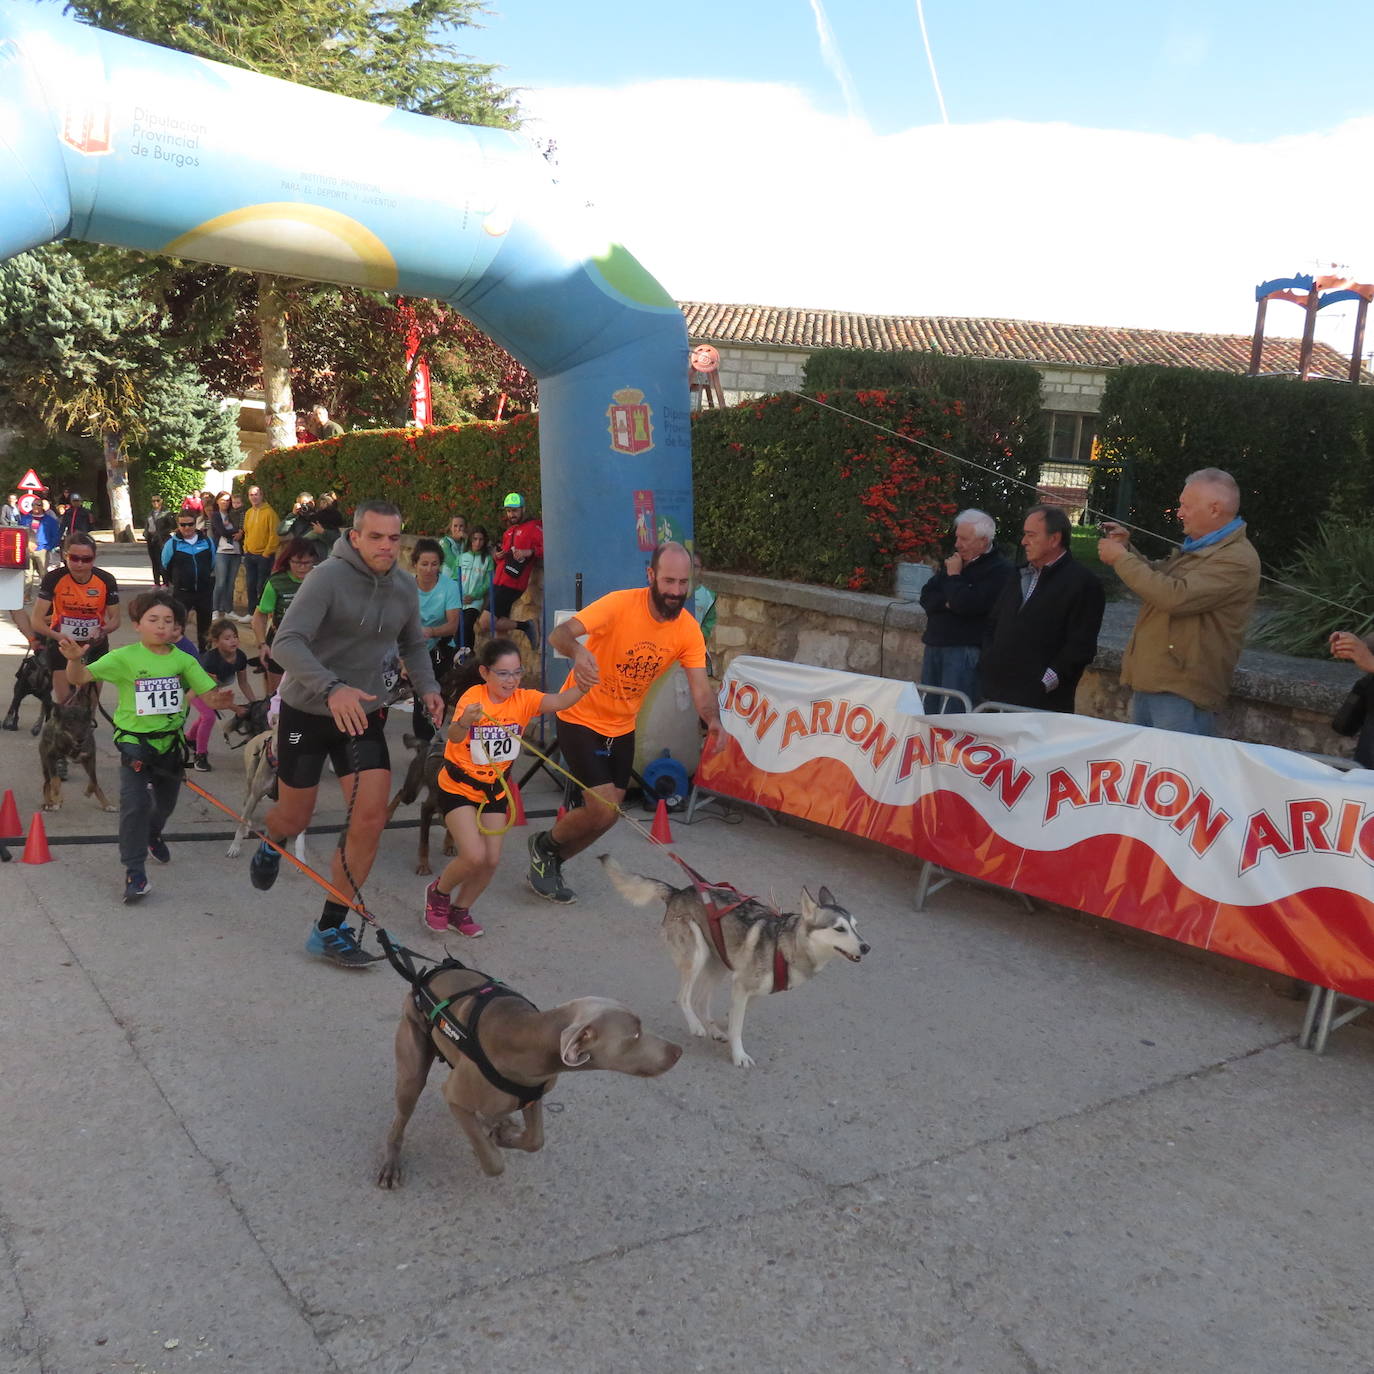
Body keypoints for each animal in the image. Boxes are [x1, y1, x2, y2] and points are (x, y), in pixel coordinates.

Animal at [601, 851, 868, 1066]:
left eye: (856, 927)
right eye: (839, 929)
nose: (866, 947)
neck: (787, 945)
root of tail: (677, 892)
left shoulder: (754, 991)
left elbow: (733, 1018)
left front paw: (724, 1030)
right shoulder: (741, 985)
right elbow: (737, 1026)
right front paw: (739, 1054)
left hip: (718, 962)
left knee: (700, 1000)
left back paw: (711, 1027)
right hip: (697, 955)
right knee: (683, 997)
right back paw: (696, 1025)